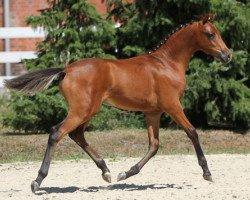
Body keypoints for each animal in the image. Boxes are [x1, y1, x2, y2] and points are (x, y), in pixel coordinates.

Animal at [3, 13, 231, 193]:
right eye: (210, 34)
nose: (227, 55)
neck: (166, 64)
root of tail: (66, 70)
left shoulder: (153, 112)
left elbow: (154, 145)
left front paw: (126, 173)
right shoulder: (172, 105)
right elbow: (192, 132)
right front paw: (207, 173)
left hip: (89, 111)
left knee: (77, 135)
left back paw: (106, 171)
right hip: (82, 110)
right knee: (56, 133)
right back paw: (37, 181)